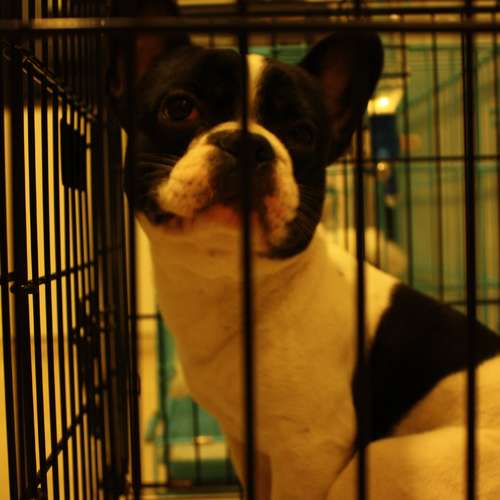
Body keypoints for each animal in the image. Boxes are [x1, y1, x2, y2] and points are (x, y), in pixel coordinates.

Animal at [109, 5, 500, 499]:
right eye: (179, 108)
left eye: (302, 133)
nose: (248, 142)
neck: (235, 286)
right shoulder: (249, 443)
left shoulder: (309, 451)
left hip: (383, 463)